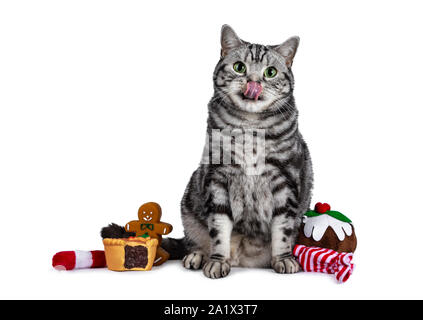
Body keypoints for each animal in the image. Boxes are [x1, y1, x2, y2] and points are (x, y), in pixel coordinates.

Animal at [102, 25, 314, 278]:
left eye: (270, 72)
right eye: (239, 67)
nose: (253, 82)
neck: (250, 127)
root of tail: (244, 261)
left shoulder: (286, 180)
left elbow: (282, 229)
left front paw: (283, 258)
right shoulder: (218, 177)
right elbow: (219, 228)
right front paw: (217, 260)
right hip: (190, 200)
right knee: (193, 240)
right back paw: (197, 256)